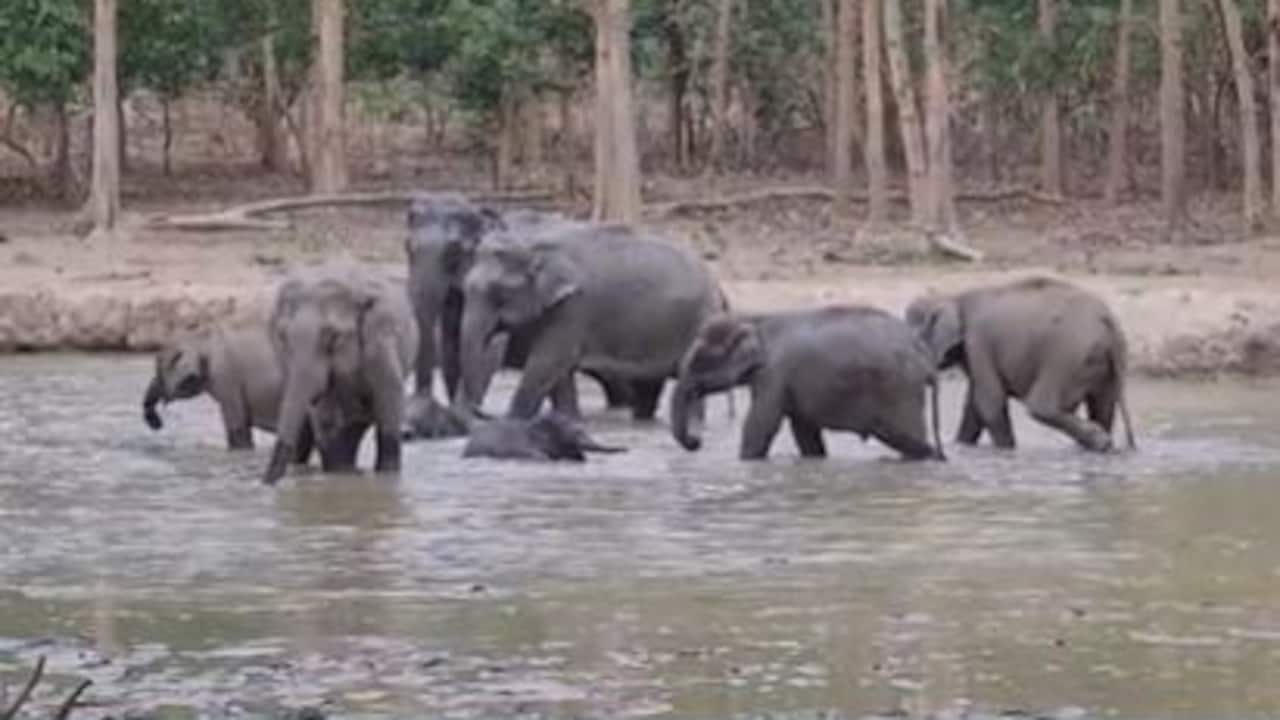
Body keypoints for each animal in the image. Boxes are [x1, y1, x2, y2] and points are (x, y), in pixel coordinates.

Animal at [262, 263, 419, 485]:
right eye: (282, 337)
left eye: (333, 337)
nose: (265, 483)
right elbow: (326, 420)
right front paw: (340, 475)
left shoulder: (381, 341)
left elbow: (389, 403)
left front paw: (385, 479)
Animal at [458, 223, 727, 424]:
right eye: (465, 289)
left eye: (500, 293)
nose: (480, 411)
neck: (535, 242)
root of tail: (718, 287)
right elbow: (558, 371)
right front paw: (568, 420)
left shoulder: (574, 307)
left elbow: (546, 362)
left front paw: (511, 420)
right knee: (649, 386)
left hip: (699, 324)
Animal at [669, 306, 945, 461]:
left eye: (700, 360)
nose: (696, 442)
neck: (755, 319)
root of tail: (921, 348)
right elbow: (805, 432)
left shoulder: (773, 374)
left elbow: (761, 426)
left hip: (900, 391)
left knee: (909, 439)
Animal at [905, 276, 1136, 452]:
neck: (952, 296)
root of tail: (1106, 319)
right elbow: (973, 407)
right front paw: (962, 447)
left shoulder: (977, 343)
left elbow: (989, 402)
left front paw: (1007, 450)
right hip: (1103, 362)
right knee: (1103, 407)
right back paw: (1100, 444)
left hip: (1067, 355)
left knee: (1041, 406)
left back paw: (1099, 440)